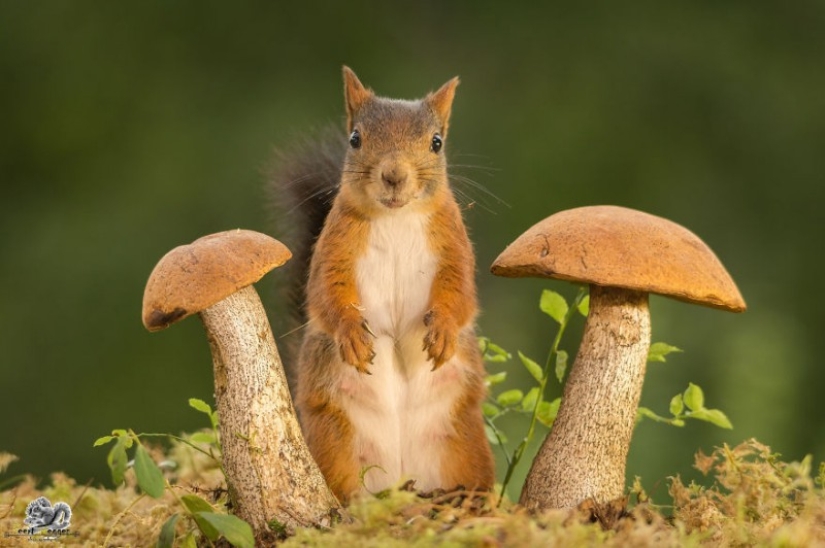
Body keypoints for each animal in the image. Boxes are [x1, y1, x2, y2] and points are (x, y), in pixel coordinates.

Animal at [271, 67, 494, 502]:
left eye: (437, 142)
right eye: (355, 138)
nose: (394, 175)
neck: (395, 217)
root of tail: (403, 478)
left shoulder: (454, 246)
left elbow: (461, 294)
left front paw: (443, 331)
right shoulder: (334, 248)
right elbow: (324, 294)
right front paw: (352, 336)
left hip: (463, 444)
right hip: (335, 443)